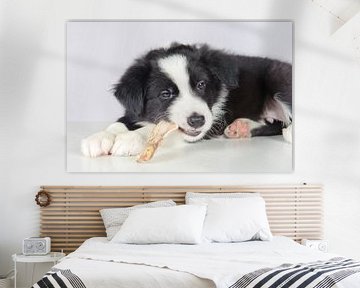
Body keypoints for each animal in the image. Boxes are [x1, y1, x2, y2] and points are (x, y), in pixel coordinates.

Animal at [80, 43, 292, 158]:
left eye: (201, 85)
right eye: (165, 94)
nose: (197, 120)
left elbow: (158, 130)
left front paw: (131, 138)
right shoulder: (135, 108)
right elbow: (119, 123)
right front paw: (99, 138)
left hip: (278, 76)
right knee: (274, 124)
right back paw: (241, 127)